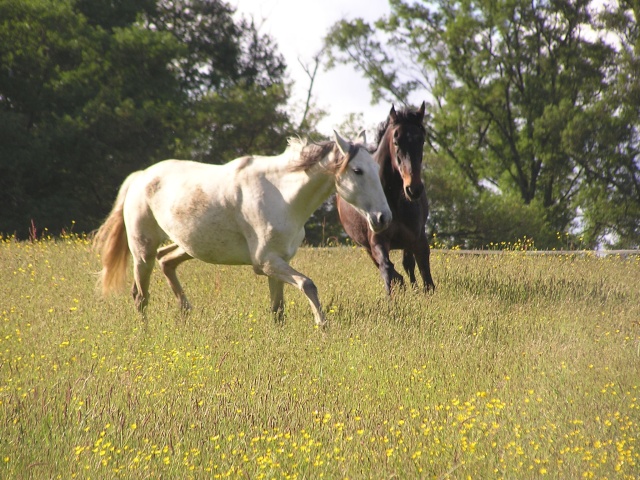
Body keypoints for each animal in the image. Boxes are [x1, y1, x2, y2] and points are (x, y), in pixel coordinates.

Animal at [94, 132, 390, 326]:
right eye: (358, 170)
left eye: (377, 166)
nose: (383, 218)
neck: (283, 196)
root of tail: (141, 176)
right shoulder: (266, 262)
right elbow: (308, 284)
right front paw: (322, 325)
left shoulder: (278, 262)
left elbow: (278, 310)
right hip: (142, 250)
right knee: (140, 295)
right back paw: (146, 333)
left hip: (189, 246)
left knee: (166, 260)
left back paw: (186, 311)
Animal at [336, 102, 436, 292]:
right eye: (396, 142)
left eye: (421, 140)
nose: (413, 189)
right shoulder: (377, 241)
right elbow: (388, 269)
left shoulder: (418, 239)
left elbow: (426, 276)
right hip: (367, 247)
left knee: (408, 265)